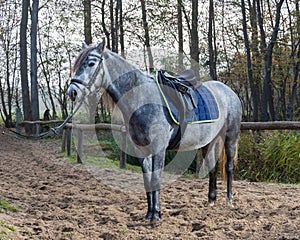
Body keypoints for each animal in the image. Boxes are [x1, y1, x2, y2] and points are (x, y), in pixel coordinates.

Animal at [67, 39, 241, 225]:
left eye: (91, 63)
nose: (72, 92)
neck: (142, 98)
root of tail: (229, 91)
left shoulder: (158, 148)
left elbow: (156, 178)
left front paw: (156, 215)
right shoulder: (141, 150)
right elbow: (147, 180)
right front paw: (149, 213)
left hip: (231, 137)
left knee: (229, 167)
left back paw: (229, 200)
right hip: (208, 141)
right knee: (212, 167)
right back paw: (211, 200)